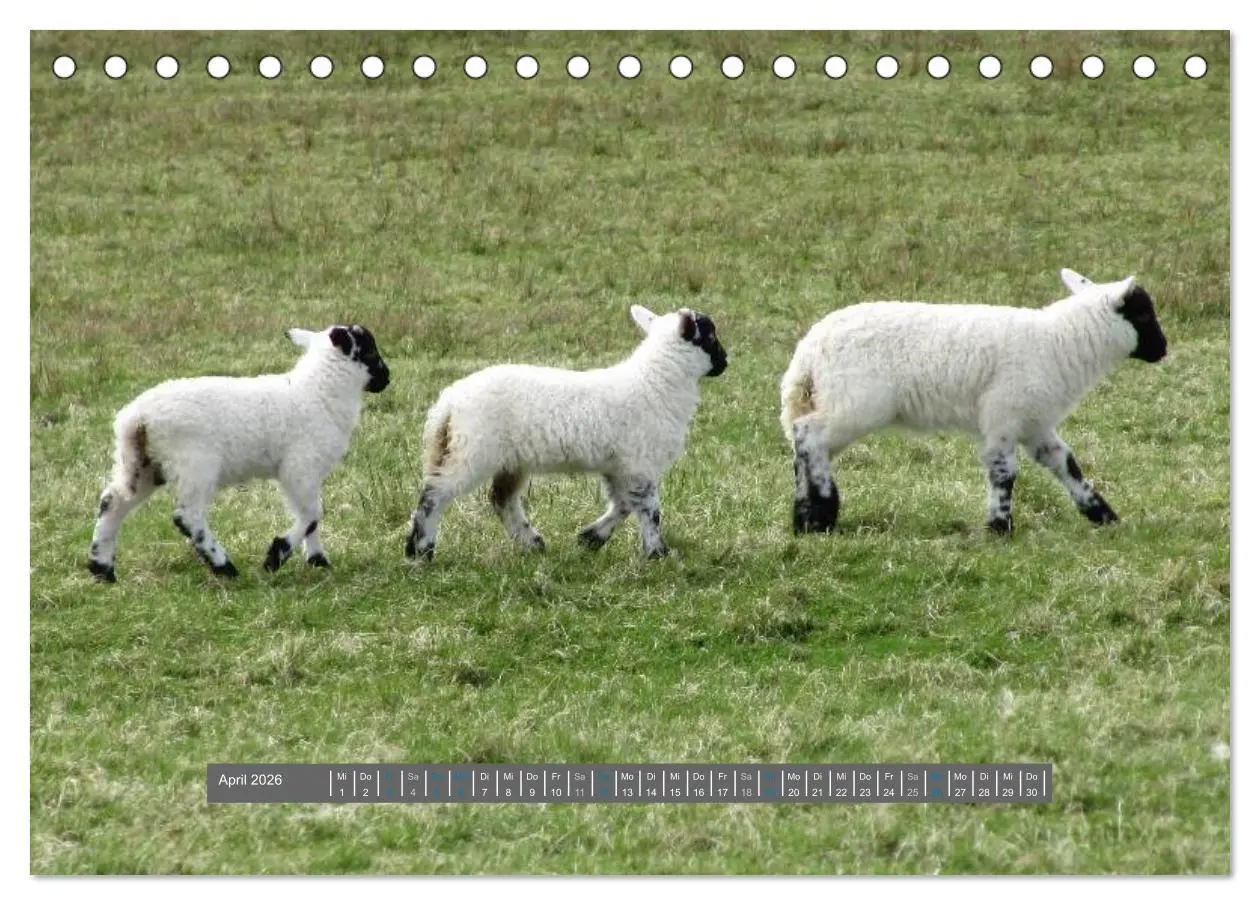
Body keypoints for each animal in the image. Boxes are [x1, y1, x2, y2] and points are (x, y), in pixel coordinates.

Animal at [86, 324, 391, 582]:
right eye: (370, 350)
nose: (387, 378)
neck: (318, 392)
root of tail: (135, 419)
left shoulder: (305, 473)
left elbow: (310, 516)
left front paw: (318, 561)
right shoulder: (299, 466)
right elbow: (312, 513)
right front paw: (276, 556)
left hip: (143, 464)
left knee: (112, 501)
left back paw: (102, 568)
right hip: (195, 463)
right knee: (187, 516)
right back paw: (224, 567)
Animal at [404, 305, 727, 561]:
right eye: (710, 337)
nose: (725, 363)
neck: (655, 382)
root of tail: (449, 402)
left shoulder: (619, 465)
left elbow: (623, 504)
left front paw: (591, 537)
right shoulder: (639, 463)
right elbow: (649, 509)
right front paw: (658, 553)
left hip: (505, 458)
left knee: (501, 499)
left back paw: (532, 542)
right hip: (473, 451)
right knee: (435, 494)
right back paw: (420, 550)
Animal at [780, 269, 1168, 536]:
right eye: (1143, 313)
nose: (1163, 350)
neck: (1060, 342)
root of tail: (810, 349)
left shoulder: (1034, 423)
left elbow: (1066, 464)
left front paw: (1103, 515)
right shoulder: (1004, 414)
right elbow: (1004, 471)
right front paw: (999, 527)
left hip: (836, 401)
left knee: (803, 445)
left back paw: (805, 518)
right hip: (856, 403)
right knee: (809, 436)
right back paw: (824, 509)